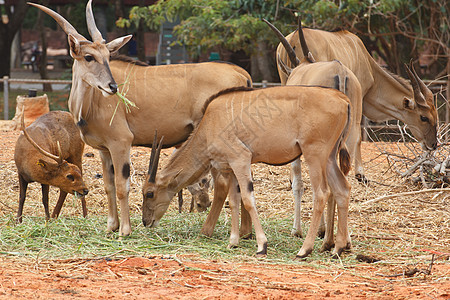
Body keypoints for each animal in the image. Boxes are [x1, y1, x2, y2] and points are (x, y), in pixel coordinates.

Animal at [29, 0, 251, 237]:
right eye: (89, 57)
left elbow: (122, 186)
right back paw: (245, 231)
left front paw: (125, 230)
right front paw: (111, 226)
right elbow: (109, 185)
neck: (89, 105)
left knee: (224, 183)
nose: (113, 87)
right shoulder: (104, 150)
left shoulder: (121, 143)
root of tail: (242, 73)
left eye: (108, 57)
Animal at [142, 85, 354, 258]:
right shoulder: (230, 169)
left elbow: (247, 199)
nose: (146, 221)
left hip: (314, 155)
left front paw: (262, 245)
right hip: (329, 158)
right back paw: (337, 249)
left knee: (322, 193)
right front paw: (233, 242)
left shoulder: (241, 159)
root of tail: (343, 99)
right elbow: (234, 201)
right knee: (342, 189)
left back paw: (304, 250)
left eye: (149, 193)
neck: (209, 125)